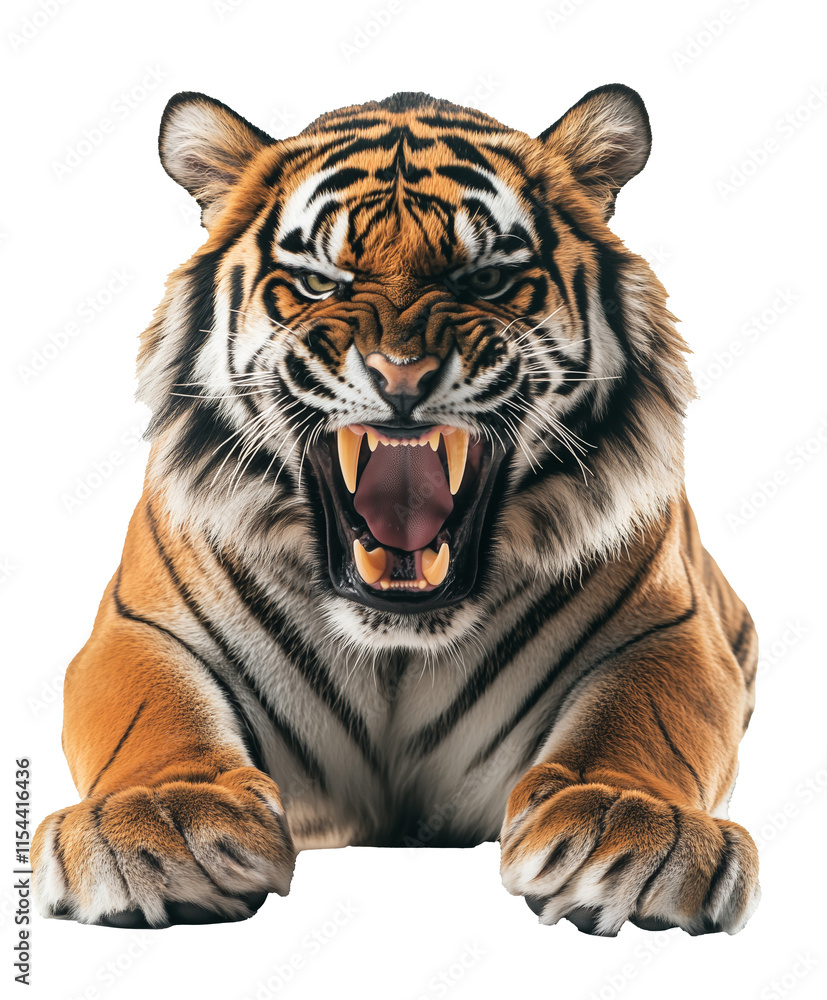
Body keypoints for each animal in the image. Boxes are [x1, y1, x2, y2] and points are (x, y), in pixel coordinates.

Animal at [32, 84, 760, 936]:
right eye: (320, 281)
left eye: (485, 280)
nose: (401, 374)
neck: (397, 649)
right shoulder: (138, 628)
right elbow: (150, 710)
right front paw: (159, 819)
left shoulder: (670, 629)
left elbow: (649, 716)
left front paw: (630, 824)